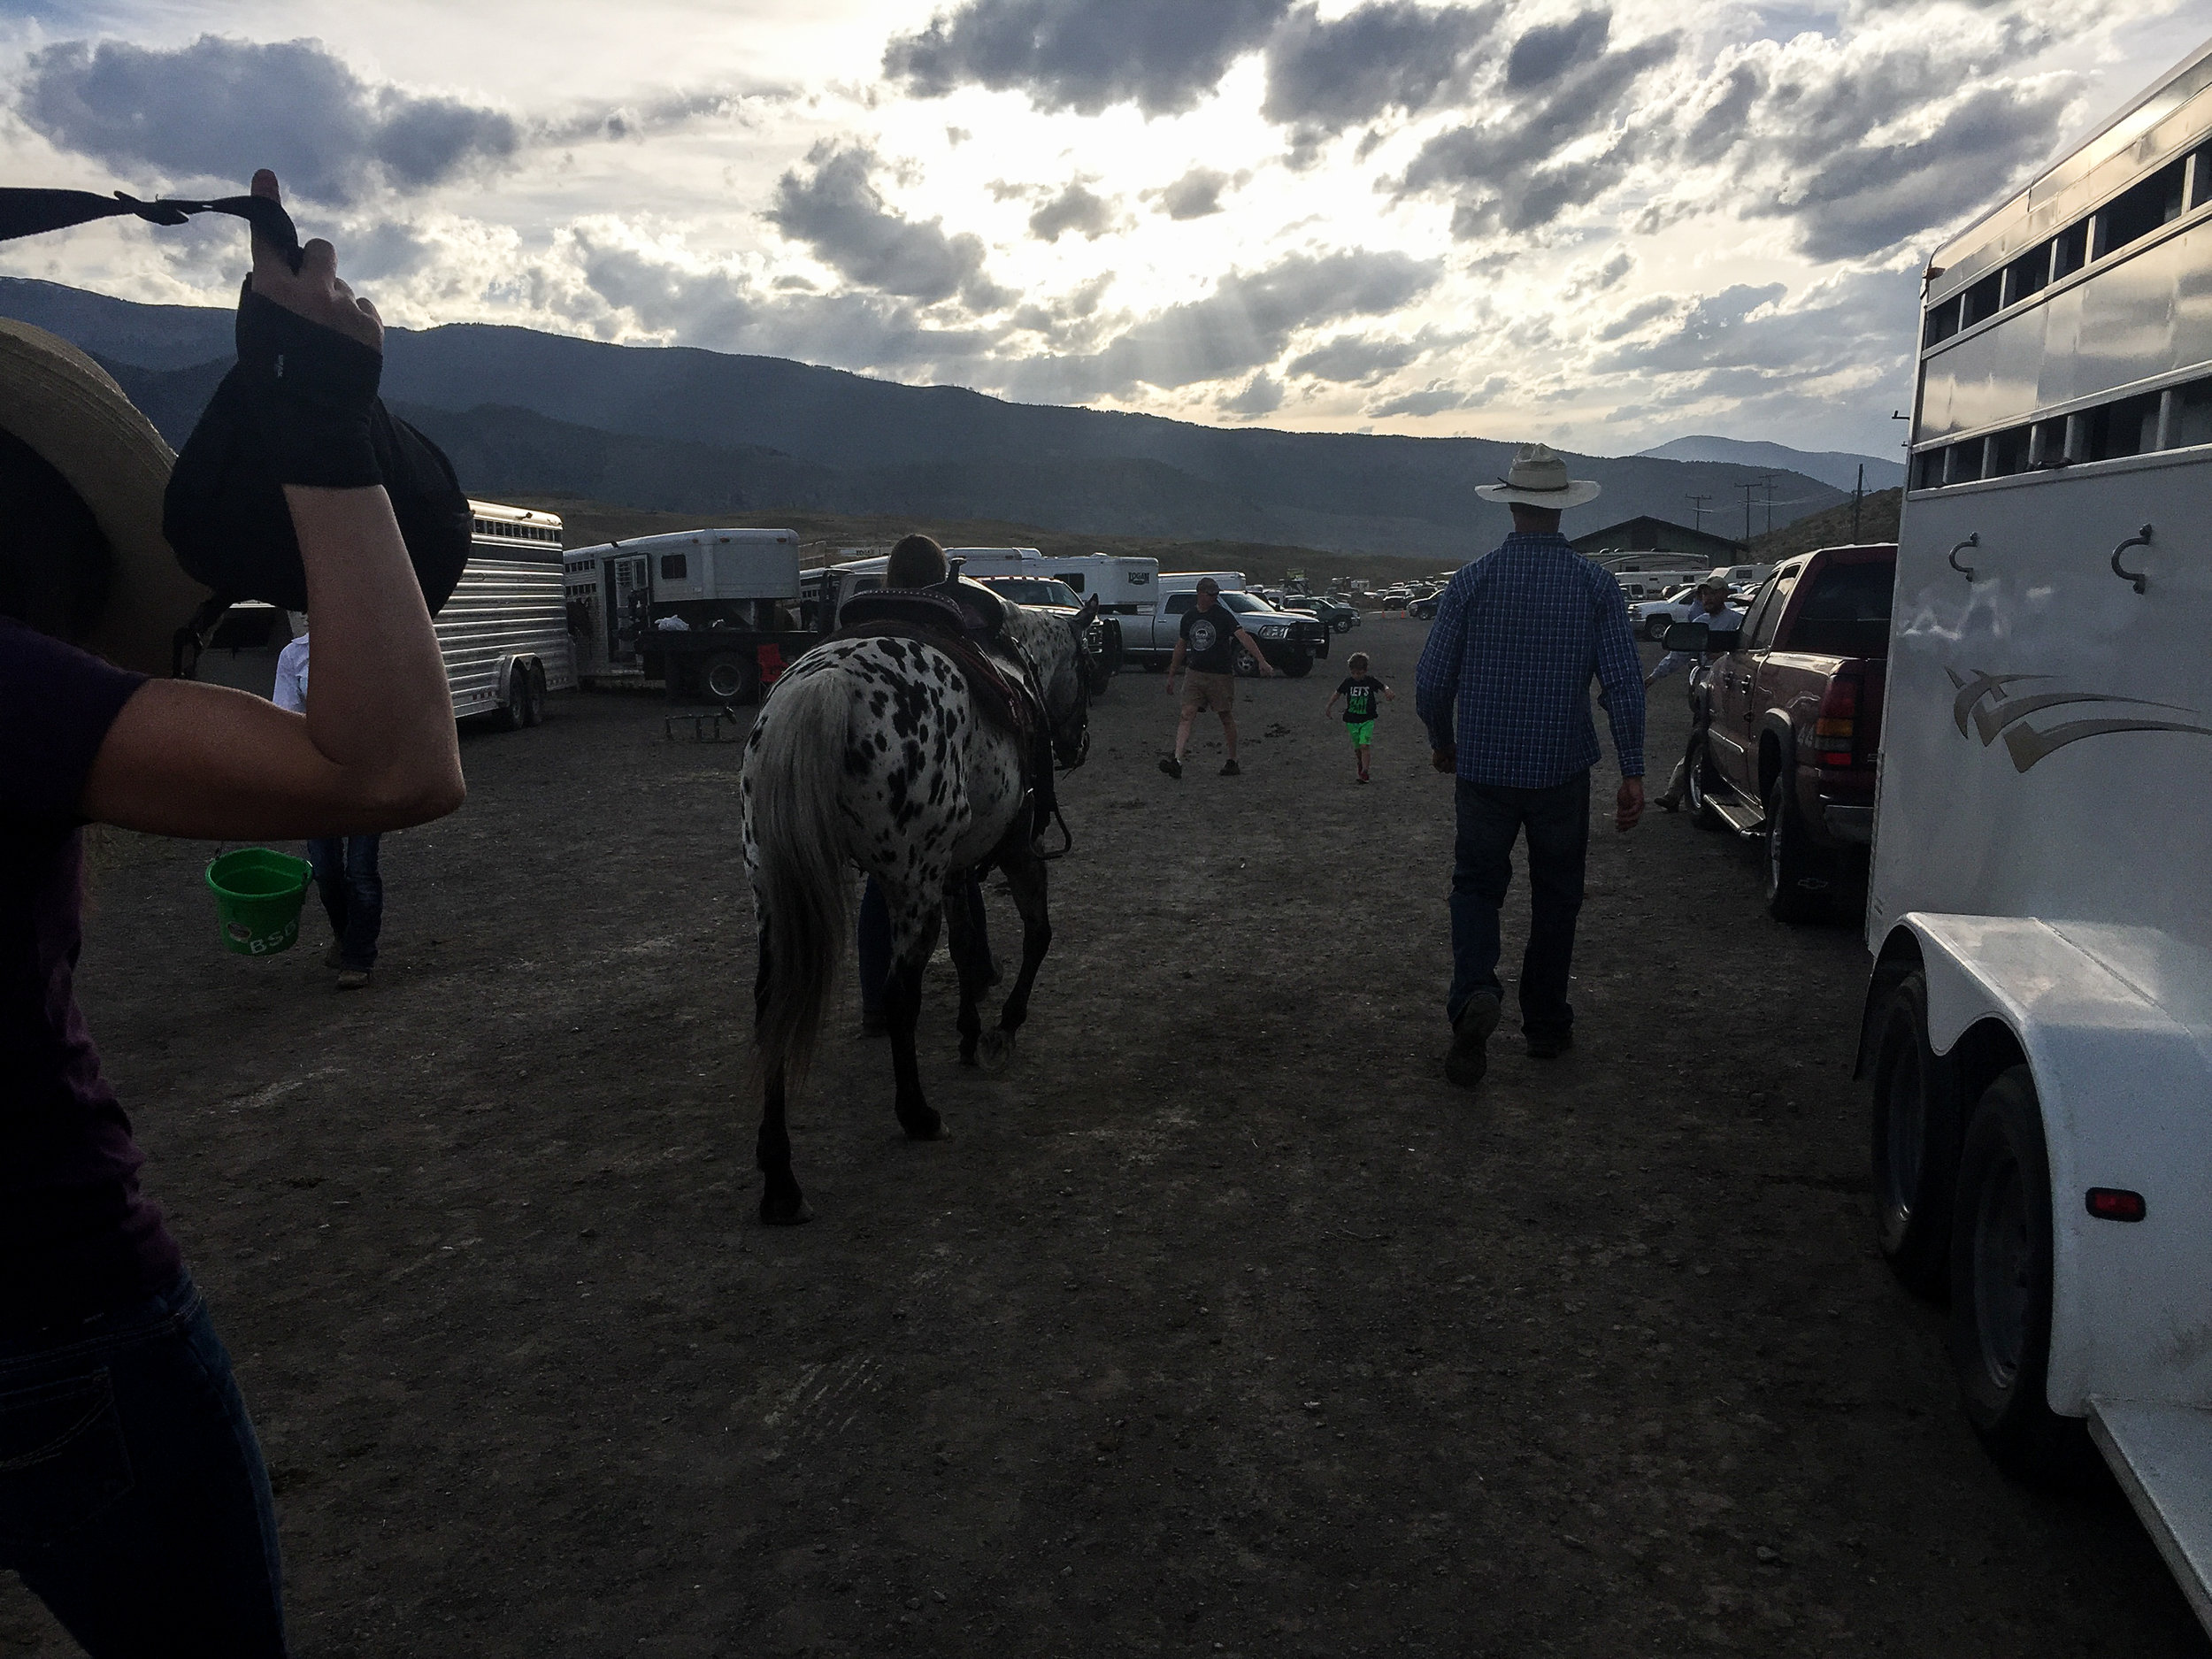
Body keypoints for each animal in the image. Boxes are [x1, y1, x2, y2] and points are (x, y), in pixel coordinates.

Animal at [739, 593, 1093, 1221]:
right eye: (1087, 666)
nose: (1078, 741)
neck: (1015, 661)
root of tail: (826, 684)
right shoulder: (1017, 849)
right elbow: (1038, 935)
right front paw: (1001, 1030)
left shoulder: (953, 870)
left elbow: (966, 943)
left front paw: (969, 1033)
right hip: (910, 884)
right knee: (899, 992)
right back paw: (917, 1114)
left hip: (774, 890)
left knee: (771, 1004)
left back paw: (779, 1177)